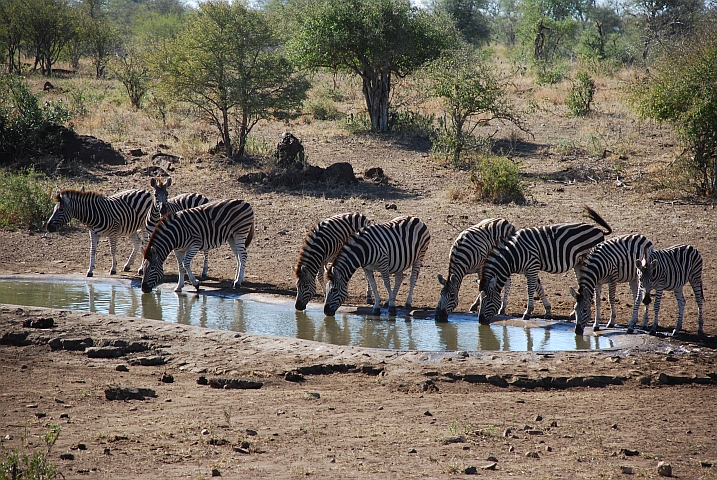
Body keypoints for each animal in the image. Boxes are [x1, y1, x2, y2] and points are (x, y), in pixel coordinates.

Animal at [476, 206, 608, 326]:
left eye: (487, 300)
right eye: (481, 300)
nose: (480, 321)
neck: (514, 254)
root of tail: (599, 230)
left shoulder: (532, 266)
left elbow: (530, 289)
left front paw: (527, 312)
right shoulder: (529, 269)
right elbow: (538, 287)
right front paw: (548, 310)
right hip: (579, 263)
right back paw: (572, 314)